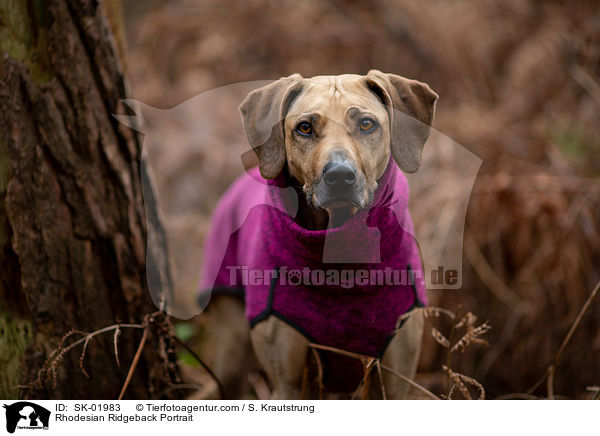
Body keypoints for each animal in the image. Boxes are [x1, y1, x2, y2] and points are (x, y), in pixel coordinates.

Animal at [199, 69, 438, 398]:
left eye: (366, 124)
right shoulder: (286, 382)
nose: (340, 176)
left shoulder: (397, 375)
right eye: (304, 127)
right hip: (232, 348)